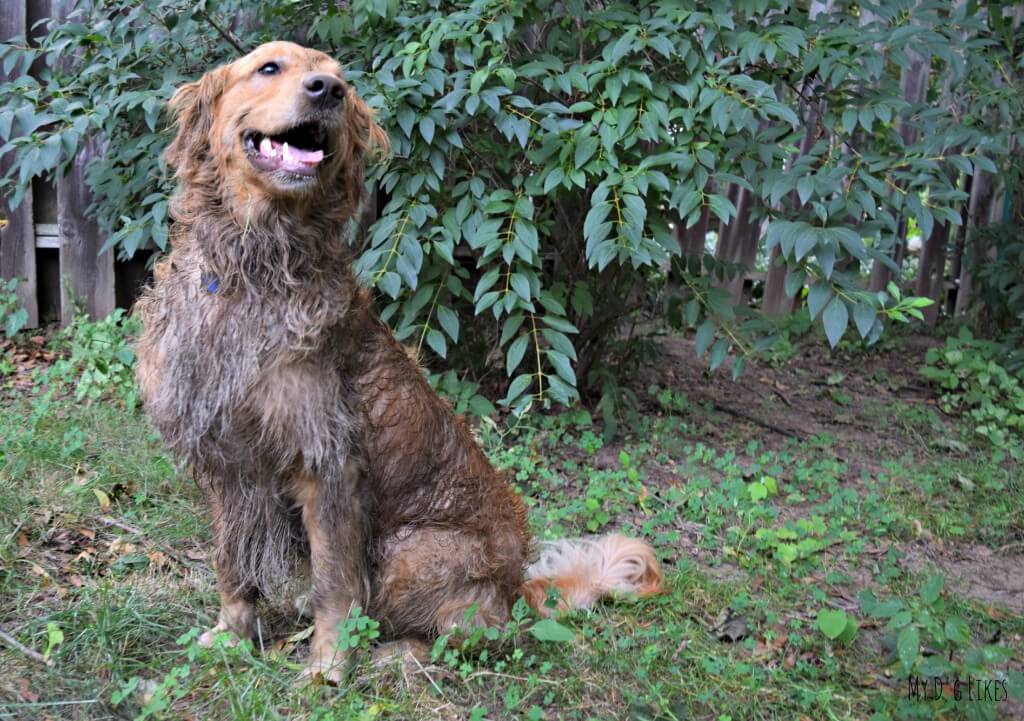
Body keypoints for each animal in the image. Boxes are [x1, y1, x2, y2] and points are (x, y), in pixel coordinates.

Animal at [136, 40, 659, 680]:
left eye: (340, 81)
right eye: (269, 67)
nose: (327, 92)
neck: (252, 269)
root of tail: (518, 586)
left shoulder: (328, 465)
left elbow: (335, 585)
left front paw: (328, 666)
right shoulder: (223, 462)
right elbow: (232, 565)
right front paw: (233, 636)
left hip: (412, 551)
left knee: (479, 633)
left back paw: (396, 652)